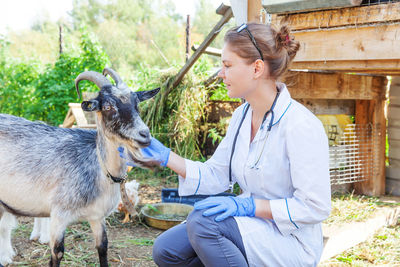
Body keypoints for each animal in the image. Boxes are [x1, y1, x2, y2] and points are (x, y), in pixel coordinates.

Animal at [0, 68, 159, 266]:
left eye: (137, 104)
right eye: (107, 107)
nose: (144, 135)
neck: (100, 169)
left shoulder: (97, 216)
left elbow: (103, 247)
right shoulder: (59, 215)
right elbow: (57, 253)